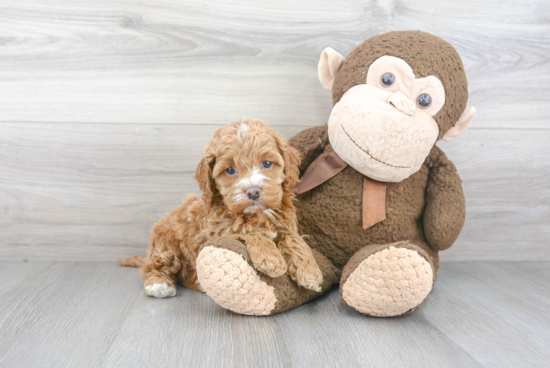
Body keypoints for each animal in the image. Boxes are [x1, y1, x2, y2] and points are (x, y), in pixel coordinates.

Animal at [117, 119, 324, 298]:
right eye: (230, 170)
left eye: (267, 163)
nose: (253, 191)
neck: (257, 214)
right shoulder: (218, 230)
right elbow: (249, 231)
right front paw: (271, 259)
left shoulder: (285, 225)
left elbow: (294, 239)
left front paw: (310, 271)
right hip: (165, 246)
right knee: (154, 267)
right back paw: (159, 284)